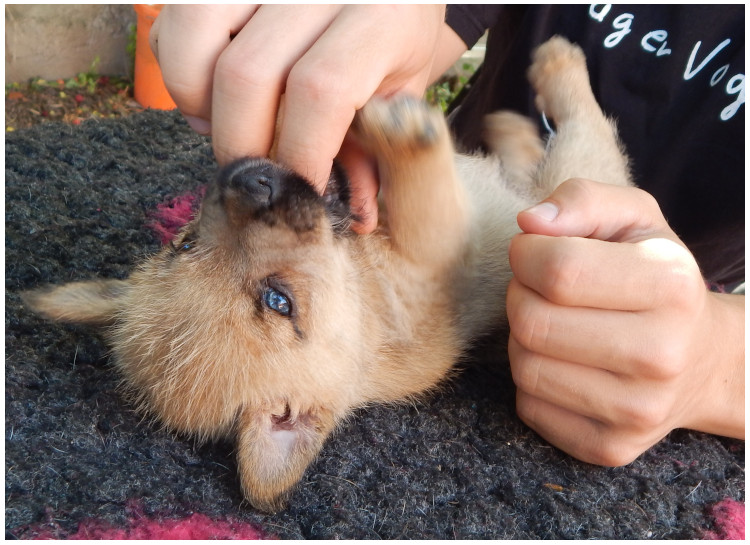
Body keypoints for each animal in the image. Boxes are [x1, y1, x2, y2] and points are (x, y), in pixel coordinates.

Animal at [23, 37, 632, 510]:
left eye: (184, 242)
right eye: (279, 302)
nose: (249, 182)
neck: (364, 298)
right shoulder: (442, 244)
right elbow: (424, 188)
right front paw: (397, 124)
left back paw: (511, 124)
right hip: (570, 182)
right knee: (584, 132)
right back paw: (554, 66)